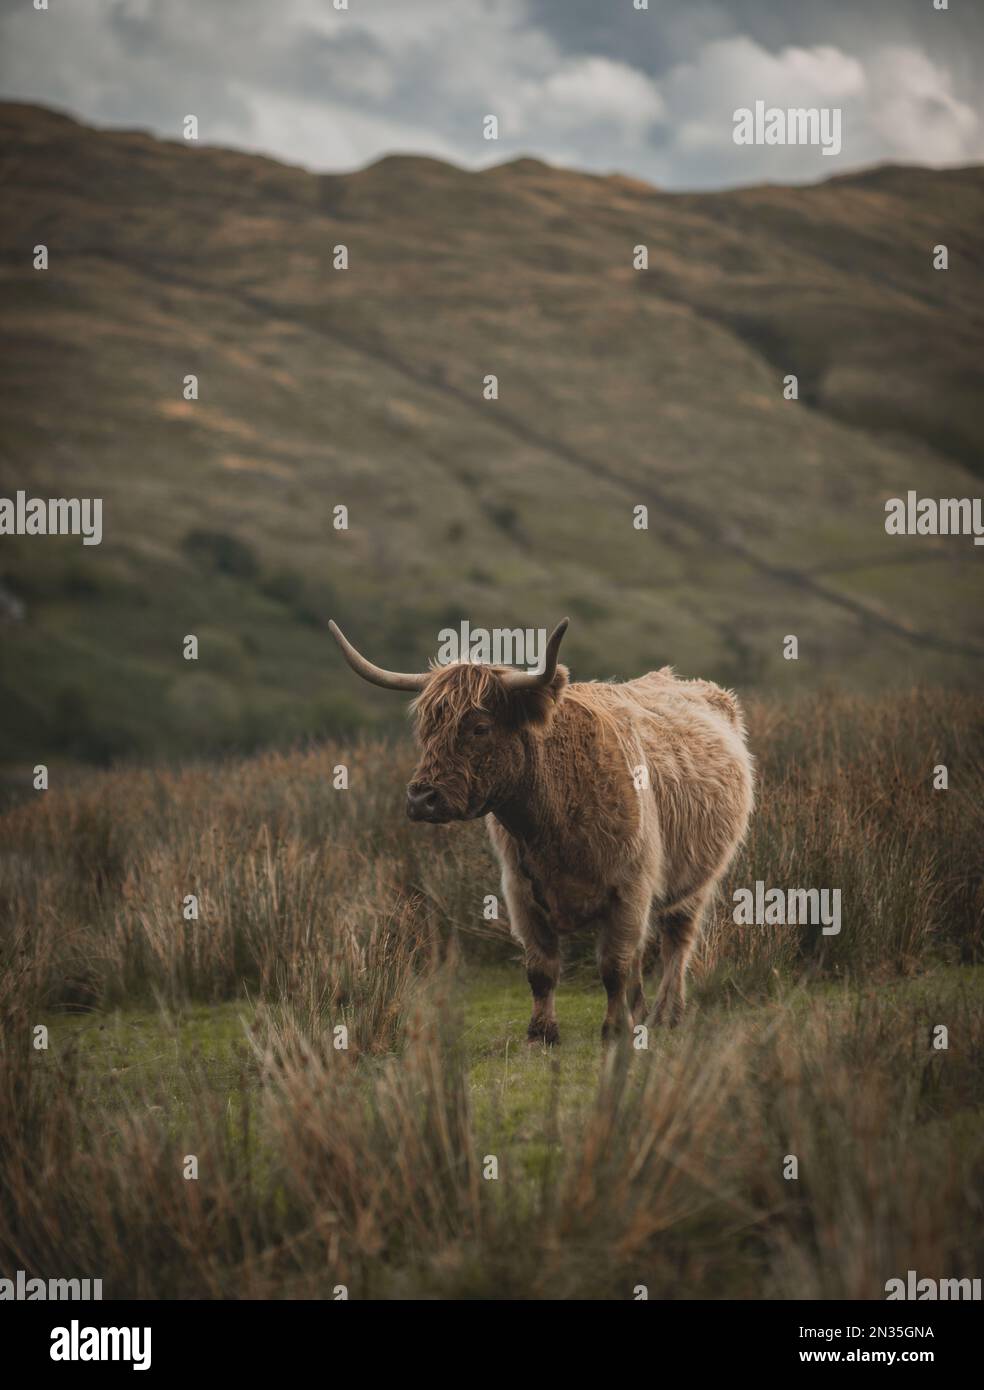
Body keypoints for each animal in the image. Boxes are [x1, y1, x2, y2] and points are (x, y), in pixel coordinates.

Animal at [328, 618, 754, 1044]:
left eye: (480, 728)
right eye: (426, 729)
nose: (421, 798)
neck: (555, 822)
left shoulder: (630, 885)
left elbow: (613, 965)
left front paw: (614, 1029)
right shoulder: (521, 892)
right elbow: (542, 968)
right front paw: (542, 1032)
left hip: (697, 881)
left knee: (676, 942)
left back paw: (667, 1013)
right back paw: (641, 1011)